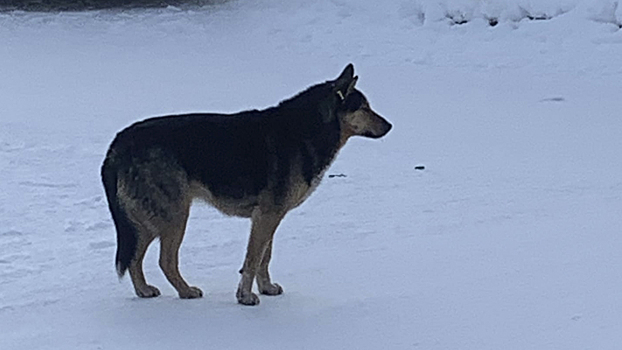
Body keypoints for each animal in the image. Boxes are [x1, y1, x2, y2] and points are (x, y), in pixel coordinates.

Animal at [102, 64, 394, 304]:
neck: (310, 128)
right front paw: (245, 296)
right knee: (164, 261)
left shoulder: (270, 216)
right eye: (364, 108)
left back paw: (144, 291)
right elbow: (253, 259)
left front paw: (265, 288)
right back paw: (185, 292)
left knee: (135, 258)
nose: (390, 126)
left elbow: (265, 256)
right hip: (173, 217)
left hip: (149, 221)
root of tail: (117, 144)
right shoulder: (267, 215)